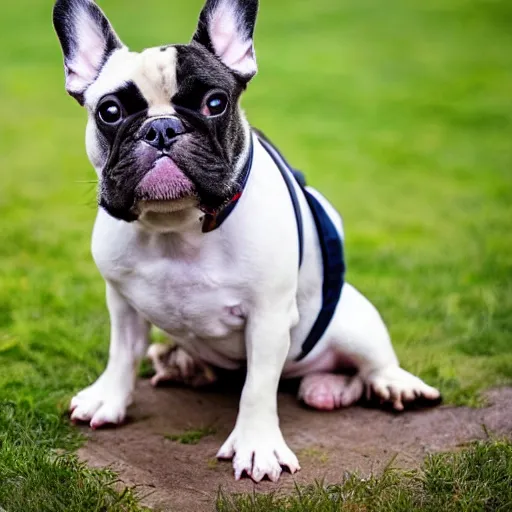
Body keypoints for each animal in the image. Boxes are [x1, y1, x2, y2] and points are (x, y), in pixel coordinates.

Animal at [54, 0, 442, 482]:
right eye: (109, 111)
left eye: (215, 103)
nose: (161, 128)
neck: (177, 228)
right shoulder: (123, 303)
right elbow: (122, 354)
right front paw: (109, 399)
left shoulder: (268, 316)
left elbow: (257, 386)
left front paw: (257, 447)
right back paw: (190, 366)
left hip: (352, 319)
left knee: (369, 363)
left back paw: (379, 385)